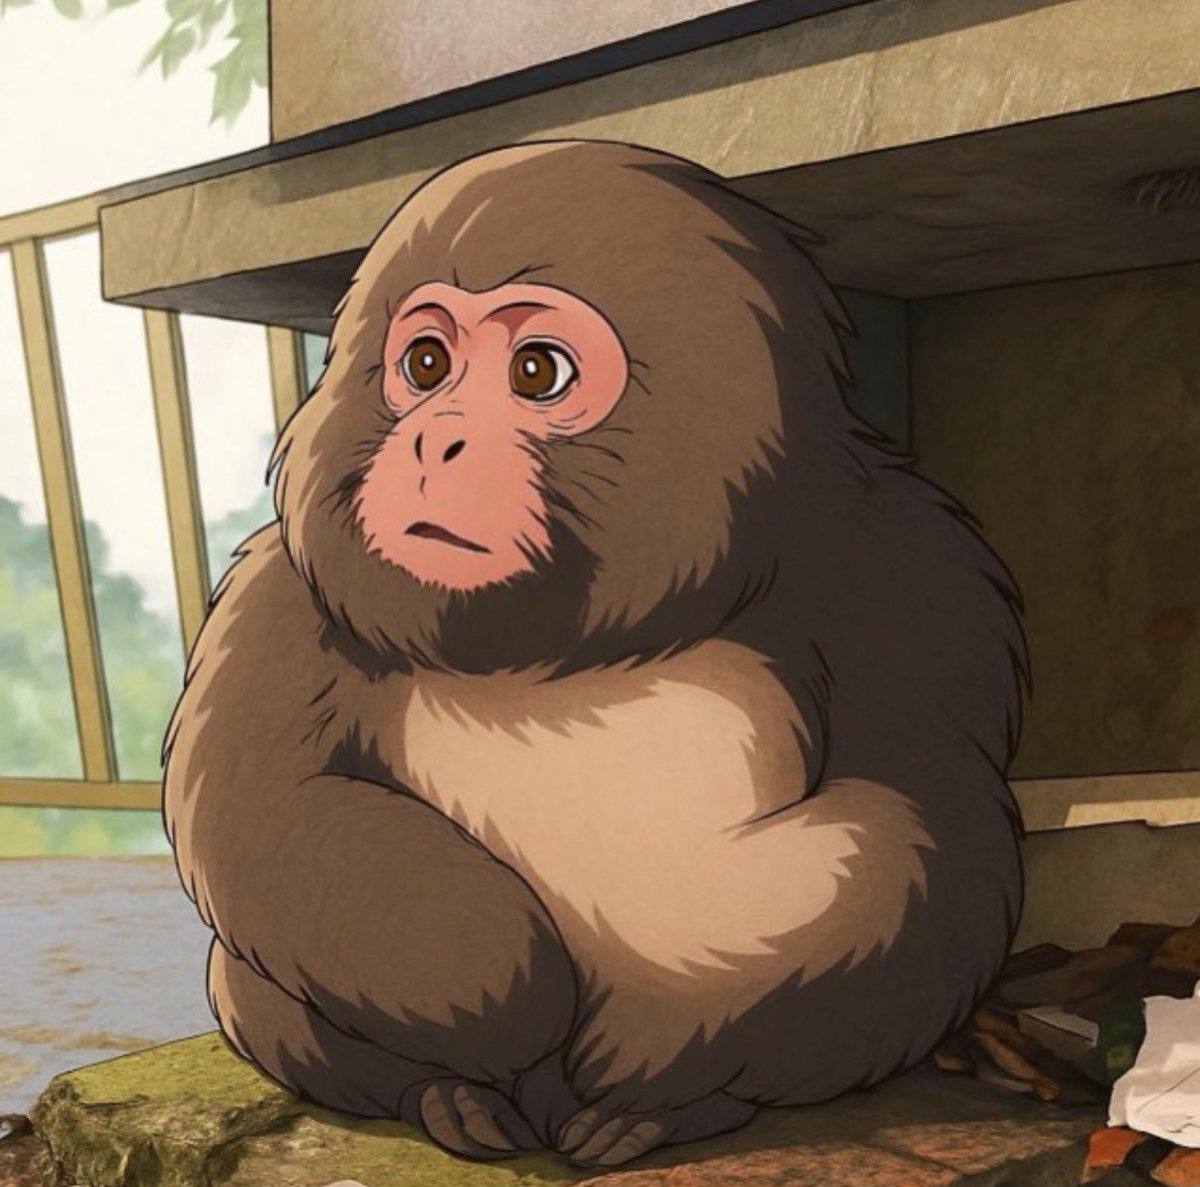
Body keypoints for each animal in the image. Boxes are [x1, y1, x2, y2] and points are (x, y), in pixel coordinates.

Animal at [163, 139, 1028, 1170]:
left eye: (537, 371)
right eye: (426, 362)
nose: (435, 439)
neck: (567, 641)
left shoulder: (916, 569)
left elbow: (932, 830)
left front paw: (664, 1045)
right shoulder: (279, 596)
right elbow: (258, 815)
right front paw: (499, 976)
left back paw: (671, 1109)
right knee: (253, 973)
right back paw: (446, 1092)